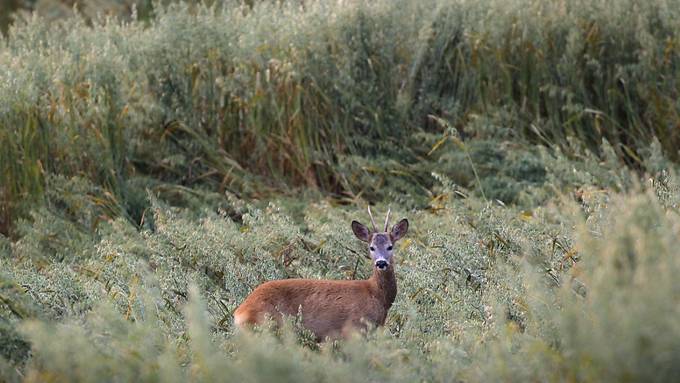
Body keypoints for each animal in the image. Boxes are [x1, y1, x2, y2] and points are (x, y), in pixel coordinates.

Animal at [232, 208, 410, 344]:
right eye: (371, 247)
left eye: (390, 246)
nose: (381, 263)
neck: (376, 294)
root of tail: (239, 312)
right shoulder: (353, 329)